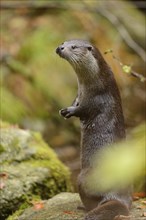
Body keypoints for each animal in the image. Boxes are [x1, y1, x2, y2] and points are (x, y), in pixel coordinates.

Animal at [56, 40, 132, 220]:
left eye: (74, 47)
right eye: (64, 42)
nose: (60, 48)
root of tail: (118, 196)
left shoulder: (96, 98)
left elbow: (84, 109)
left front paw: (70, 111)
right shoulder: (79, 95)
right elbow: (76, 101)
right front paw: (65, 110)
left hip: (82, 179)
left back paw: (84, 208)